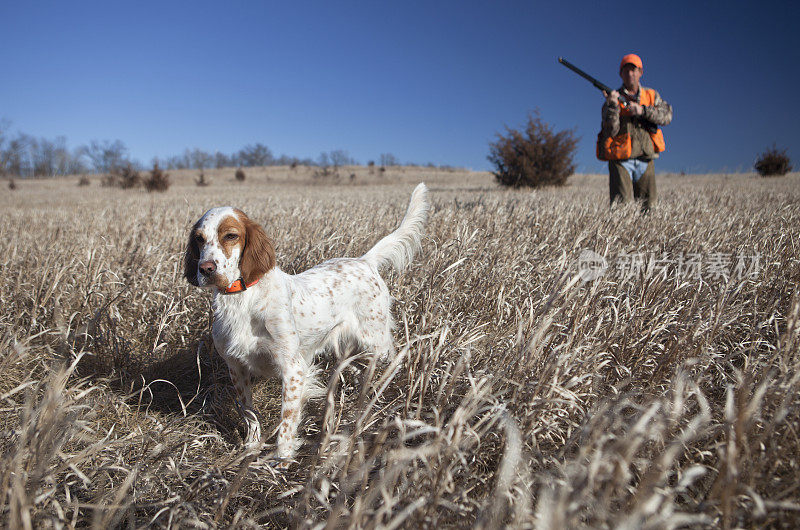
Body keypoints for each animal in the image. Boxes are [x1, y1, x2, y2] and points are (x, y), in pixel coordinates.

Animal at [184, 184, 428, 460]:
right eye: (199, 239)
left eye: (231, 236)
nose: (206, 269)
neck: (242, 299)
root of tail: (364, 261)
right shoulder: (236, 367)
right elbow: (249, 413)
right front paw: (251, 447)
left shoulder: (292, 369)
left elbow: (286, 423)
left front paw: (281, 459)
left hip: (376, 341)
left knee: (394, 361)